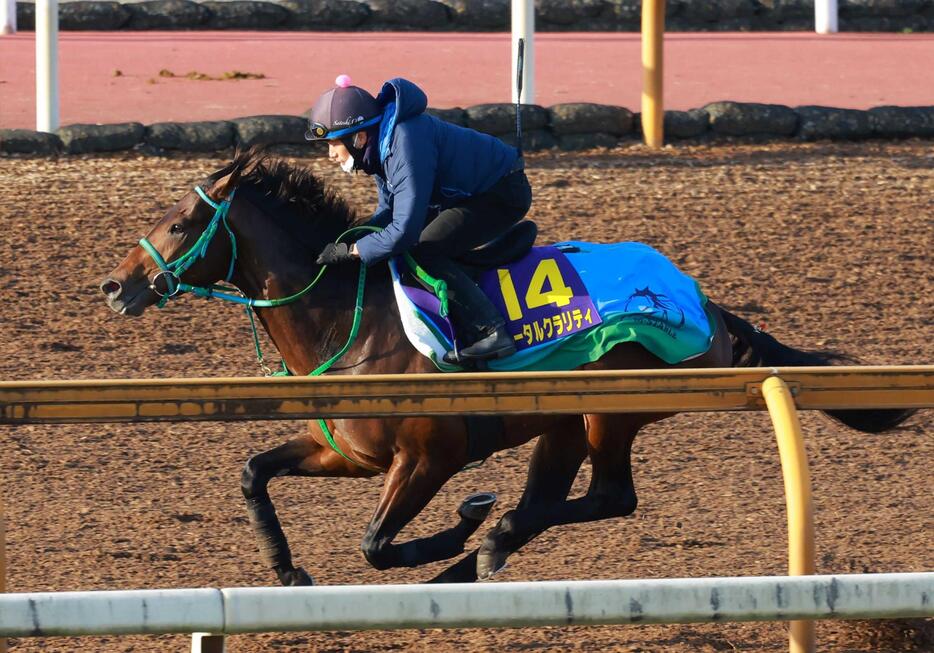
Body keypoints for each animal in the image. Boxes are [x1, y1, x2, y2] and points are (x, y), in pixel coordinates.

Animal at [100, 149, 916, 584]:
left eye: (179, 223)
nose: (115, 284)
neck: (349, 319)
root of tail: (711, 308)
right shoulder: (348, 452)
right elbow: (253, 472)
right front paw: (286, 567)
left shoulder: (430, 455)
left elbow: (374, 544)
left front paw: (460, 522)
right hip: (565, 423)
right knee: (572, 498)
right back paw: (480, 550)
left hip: (605, 408)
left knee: (603, 498)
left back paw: (483, 538)